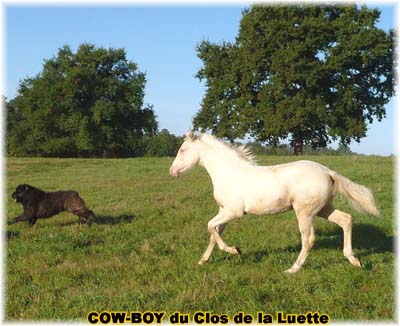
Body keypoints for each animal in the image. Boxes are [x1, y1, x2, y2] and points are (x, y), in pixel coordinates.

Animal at [170, 132, 382, 272]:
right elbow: (214, 233)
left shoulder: (233, 211)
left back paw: (293, 269)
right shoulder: (224, 211)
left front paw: (235, 250)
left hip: (305, 212)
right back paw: (354, 260)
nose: (172, 172)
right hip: (323, 209)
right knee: (346, 219)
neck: (228, 173)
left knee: (308, 239)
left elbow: (210, 226)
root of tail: (327, 171)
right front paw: (202, 261)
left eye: (182, 150)